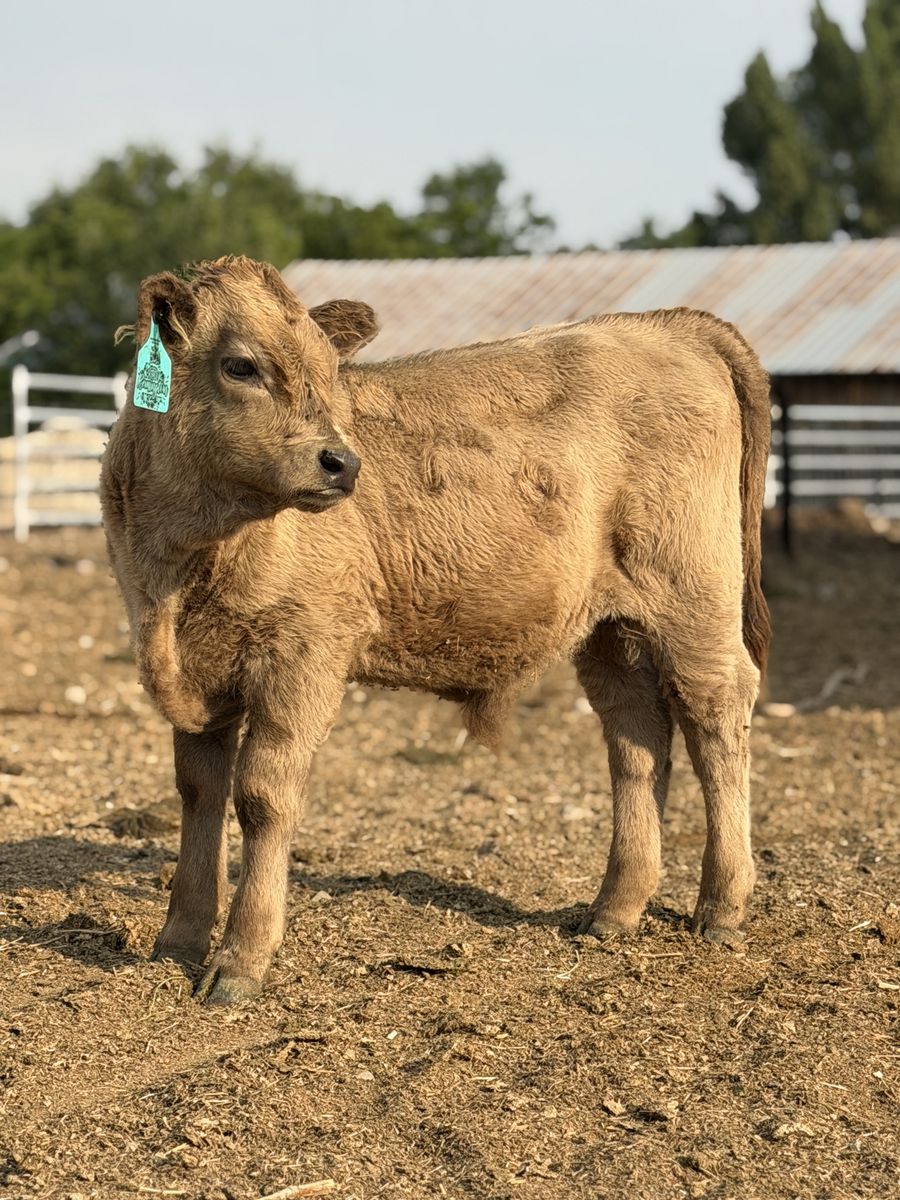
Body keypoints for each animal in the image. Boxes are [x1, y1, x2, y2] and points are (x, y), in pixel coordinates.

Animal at [101, 255, 771, 1005]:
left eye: (330, 372)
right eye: (240, 365)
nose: (342, 462)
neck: (181, 565)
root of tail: (667, 325)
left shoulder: (303, 658)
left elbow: (262, 797)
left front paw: (241, 960)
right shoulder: (198, 674)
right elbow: (198, 793)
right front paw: (177, 938)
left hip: (695, 601)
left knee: (716, 719)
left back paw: (721, 906)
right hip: (612, 632)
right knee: (637, 738)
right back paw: (614, 909)